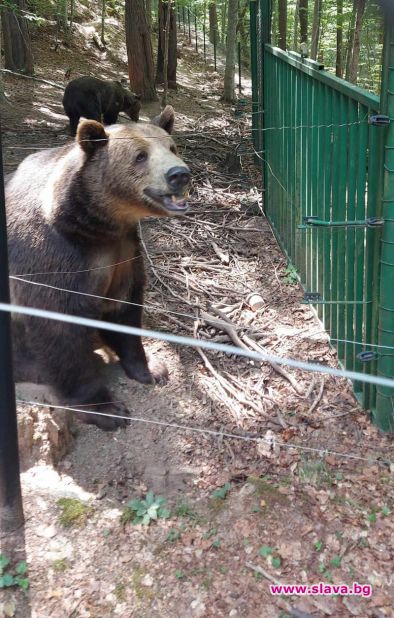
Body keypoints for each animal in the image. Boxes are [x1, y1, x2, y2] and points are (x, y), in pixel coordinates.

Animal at [6, 107, 191, 428]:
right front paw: (107, 408)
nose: (179, 174)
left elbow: (123, 307)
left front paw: (149, 368)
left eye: (172, 147)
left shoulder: (123, 252)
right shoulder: (53, 260)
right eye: (140, 155)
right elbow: (60, 331)